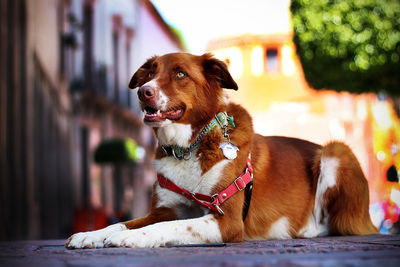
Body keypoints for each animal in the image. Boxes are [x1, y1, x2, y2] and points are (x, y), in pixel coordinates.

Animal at [66, 53, 378, 250]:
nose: (144, 91)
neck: (189, 147)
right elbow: (122, 223)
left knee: (338, 224)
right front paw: (90, 235)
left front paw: (136, 238)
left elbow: (167, 228)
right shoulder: (164, 210)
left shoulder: (226, 221)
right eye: (150, 73)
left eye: (180, 73)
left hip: (336, 153)